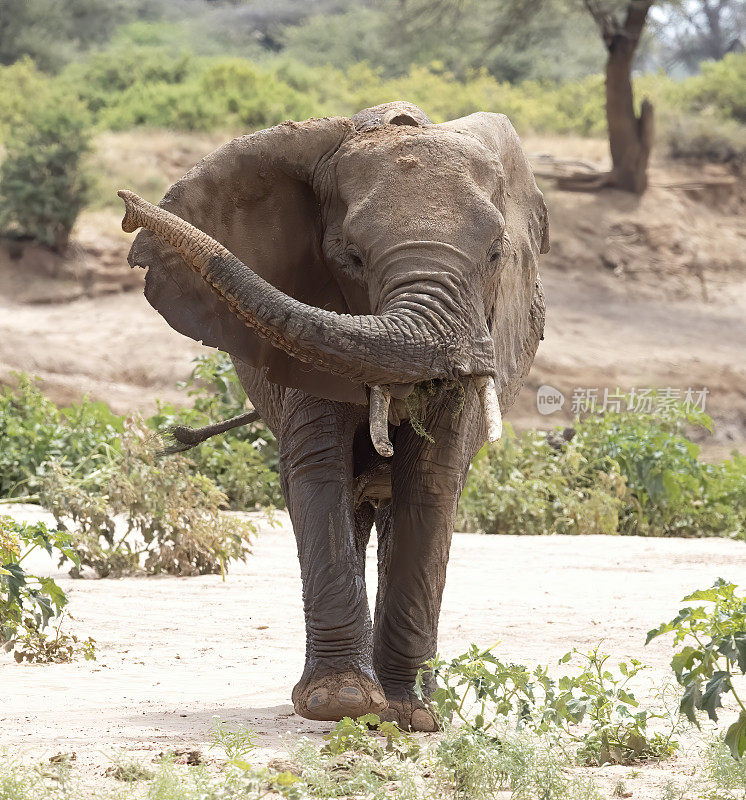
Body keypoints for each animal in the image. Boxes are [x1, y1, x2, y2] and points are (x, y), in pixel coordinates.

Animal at [116, 101, 548, 732]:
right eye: (352, 256)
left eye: (496, 254)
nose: (127, 209)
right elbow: (319, 468)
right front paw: (341, 703)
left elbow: (432, 480)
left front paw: (412, 716)